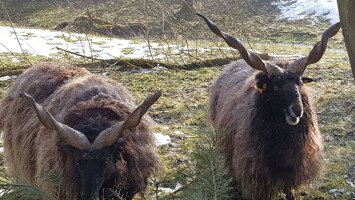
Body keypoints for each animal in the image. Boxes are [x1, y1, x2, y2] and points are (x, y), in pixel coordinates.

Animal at [197, 13, 342, 199]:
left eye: (300, 83)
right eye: (276, 87)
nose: (297, 111)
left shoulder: (291, 166)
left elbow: (288, 189)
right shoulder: (256, 170)